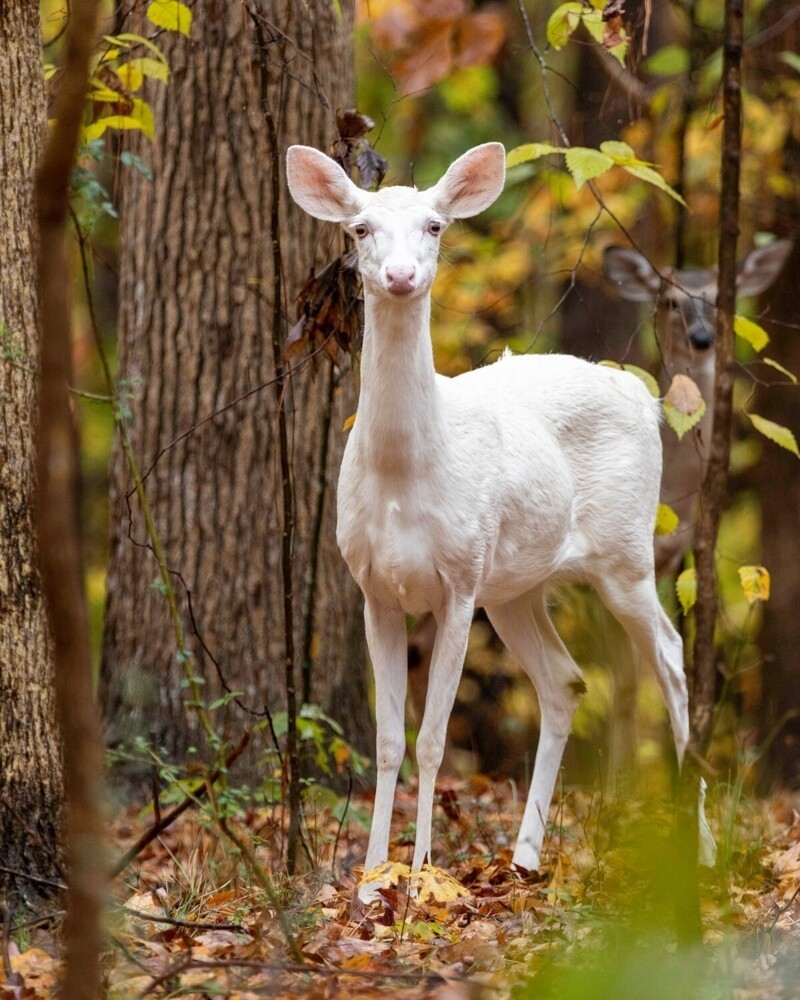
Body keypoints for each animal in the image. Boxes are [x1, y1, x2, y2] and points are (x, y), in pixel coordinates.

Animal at [290, 143, 692, 876]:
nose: (399, 275)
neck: (405, 478)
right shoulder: (373, 586)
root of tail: (642, 394)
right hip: (515, 588)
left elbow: (431, 741)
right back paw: (525, 857)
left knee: (671, 663)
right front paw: (371, 878)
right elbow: (389, 743)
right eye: (360, 228)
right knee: (565, 683)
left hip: (623, 552)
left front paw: (421, 873)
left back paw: (695, 848)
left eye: (435, 225)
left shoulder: (459, 577)